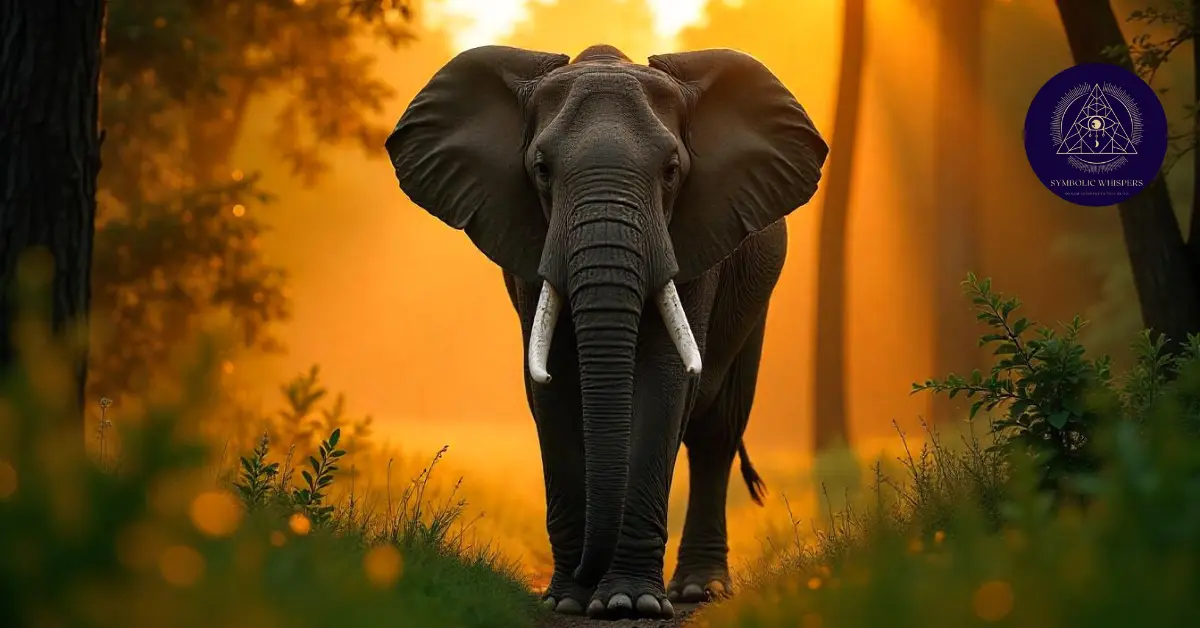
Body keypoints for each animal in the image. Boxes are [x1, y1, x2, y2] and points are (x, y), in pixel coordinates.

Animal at [385, 43, 828, 619]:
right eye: (541, 170)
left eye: (671, 171)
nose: (586, 575)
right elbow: (550, 388)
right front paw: (570, 602)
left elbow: (664, 381)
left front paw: (627, 602)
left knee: (716, 432)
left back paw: (698, 591)